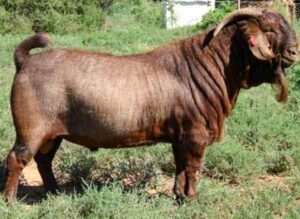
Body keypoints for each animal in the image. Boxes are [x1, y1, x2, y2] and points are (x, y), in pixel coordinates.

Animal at [2, 8, 298, 202]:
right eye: (270, 30)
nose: (294, 51)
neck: (212, 65)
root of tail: (25, 61)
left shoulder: (180, 136)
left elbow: (179, 166)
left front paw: (179, 196)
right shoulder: (195, 134)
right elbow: (192, 167)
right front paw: (192, 199)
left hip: (53, 134)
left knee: (43, 159)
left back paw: (55, 193)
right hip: (32, 127)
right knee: (18, 158)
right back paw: (10, 200)